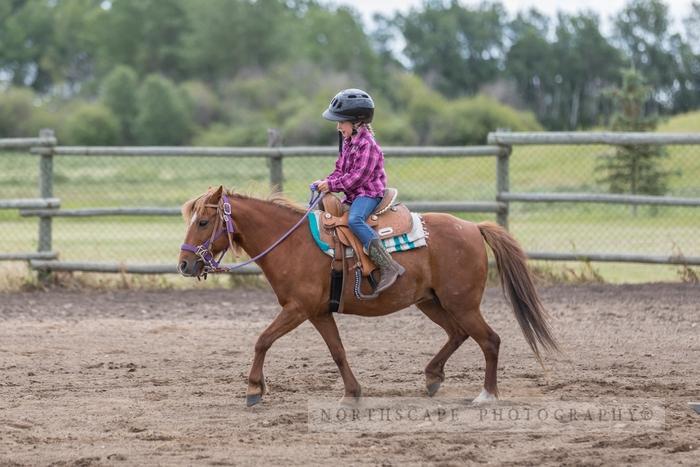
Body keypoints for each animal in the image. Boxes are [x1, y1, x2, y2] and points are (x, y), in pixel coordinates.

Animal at [179, 186, 556, 406]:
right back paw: (432, 377)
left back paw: (486, 395)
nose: (184, 263)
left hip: (461, 303)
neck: (292, 243)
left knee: (490, 340)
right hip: (431, 301)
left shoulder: (297, 309)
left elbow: (262, 340)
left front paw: (254, 390)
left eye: (203, 222)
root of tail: (473, 227)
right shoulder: (318, 312)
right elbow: (337, 351)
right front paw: (352, 393)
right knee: (458, 334)